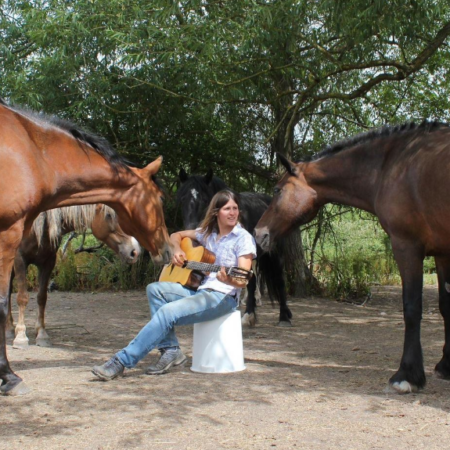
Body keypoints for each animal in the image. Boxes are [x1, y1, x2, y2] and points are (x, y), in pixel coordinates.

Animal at [6, 204, 141, 348]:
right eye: (109, 215)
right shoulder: (20, 260)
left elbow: (42, 298)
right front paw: (21, 337)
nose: (135, 251)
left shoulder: (48, 262)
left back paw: (9, 328)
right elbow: (22, 298)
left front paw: (42, 334)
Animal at [176, 169, 292, 326]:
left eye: (205, 200)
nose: (192, 229)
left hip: (275, 254)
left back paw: (283, 317)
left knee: (279, 280)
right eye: (183, 199)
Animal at [255, 122, 450, 394]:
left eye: (277, 190)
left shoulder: (407, 247)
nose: (258, 233)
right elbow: (446, 307)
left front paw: (407, 375)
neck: (392, 164)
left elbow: (412, 308)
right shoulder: (442, 253)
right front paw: (446, 365)